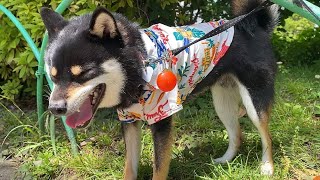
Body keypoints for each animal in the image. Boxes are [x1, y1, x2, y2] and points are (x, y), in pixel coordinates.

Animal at [41, 0, 278, 178]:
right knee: (237, 134)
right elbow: (129, 167)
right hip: (222, 103)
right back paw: (225, 161)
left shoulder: (163, 119)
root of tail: (252, 24)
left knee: (265, 135)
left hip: (254, 102)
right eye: (53, 76)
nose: (55, 108)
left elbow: (159, 167)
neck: (141, 65)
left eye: (84, 73)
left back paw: (267, 167)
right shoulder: (129, 121)